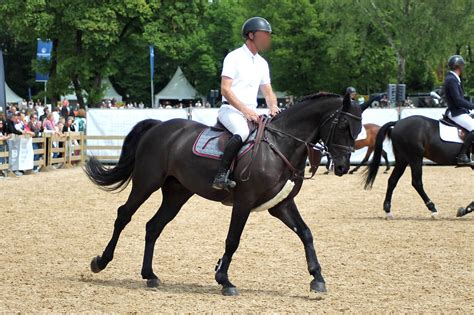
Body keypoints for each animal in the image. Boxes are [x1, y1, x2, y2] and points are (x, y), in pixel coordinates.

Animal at [86, 91, 362, 296]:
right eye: (343, 125)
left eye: (359, 129)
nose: (342, 167)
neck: (280, 145)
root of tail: (160, 125)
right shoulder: (244, 201)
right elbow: (233, 239)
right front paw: (224, 279)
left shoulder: (281, 205)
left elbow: (305, 233)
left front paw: (317, 278)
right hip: (146, 183)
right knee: (124, 215)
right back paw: (101, 261)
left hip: (177, 193)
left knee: (153, 226)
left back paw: (150, 275)